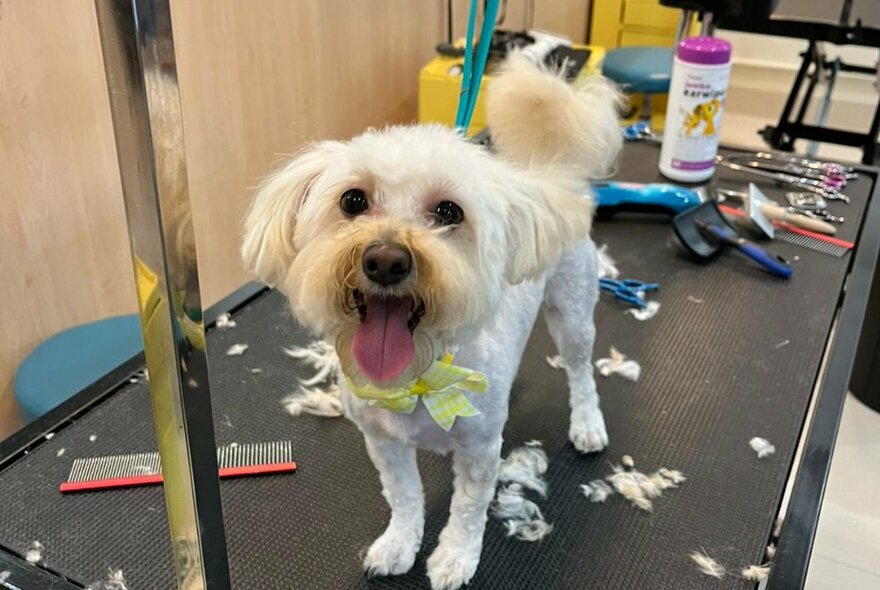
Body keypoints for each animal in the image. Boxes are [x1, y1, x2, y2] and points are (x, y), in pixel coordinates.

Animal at [244, 53, 624, 588]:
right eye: (353, 201)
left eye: (449, 211)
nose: (385, 260)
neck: (420, 375)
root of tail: (550, 176)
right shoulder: (383, 443)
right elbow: (404, 498)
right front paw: (398, 543)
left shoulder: (481, 451)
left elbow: (468, 509)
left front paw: (454, 558)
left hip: (572, 312)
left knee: (580, 370)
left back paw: (588, 422)